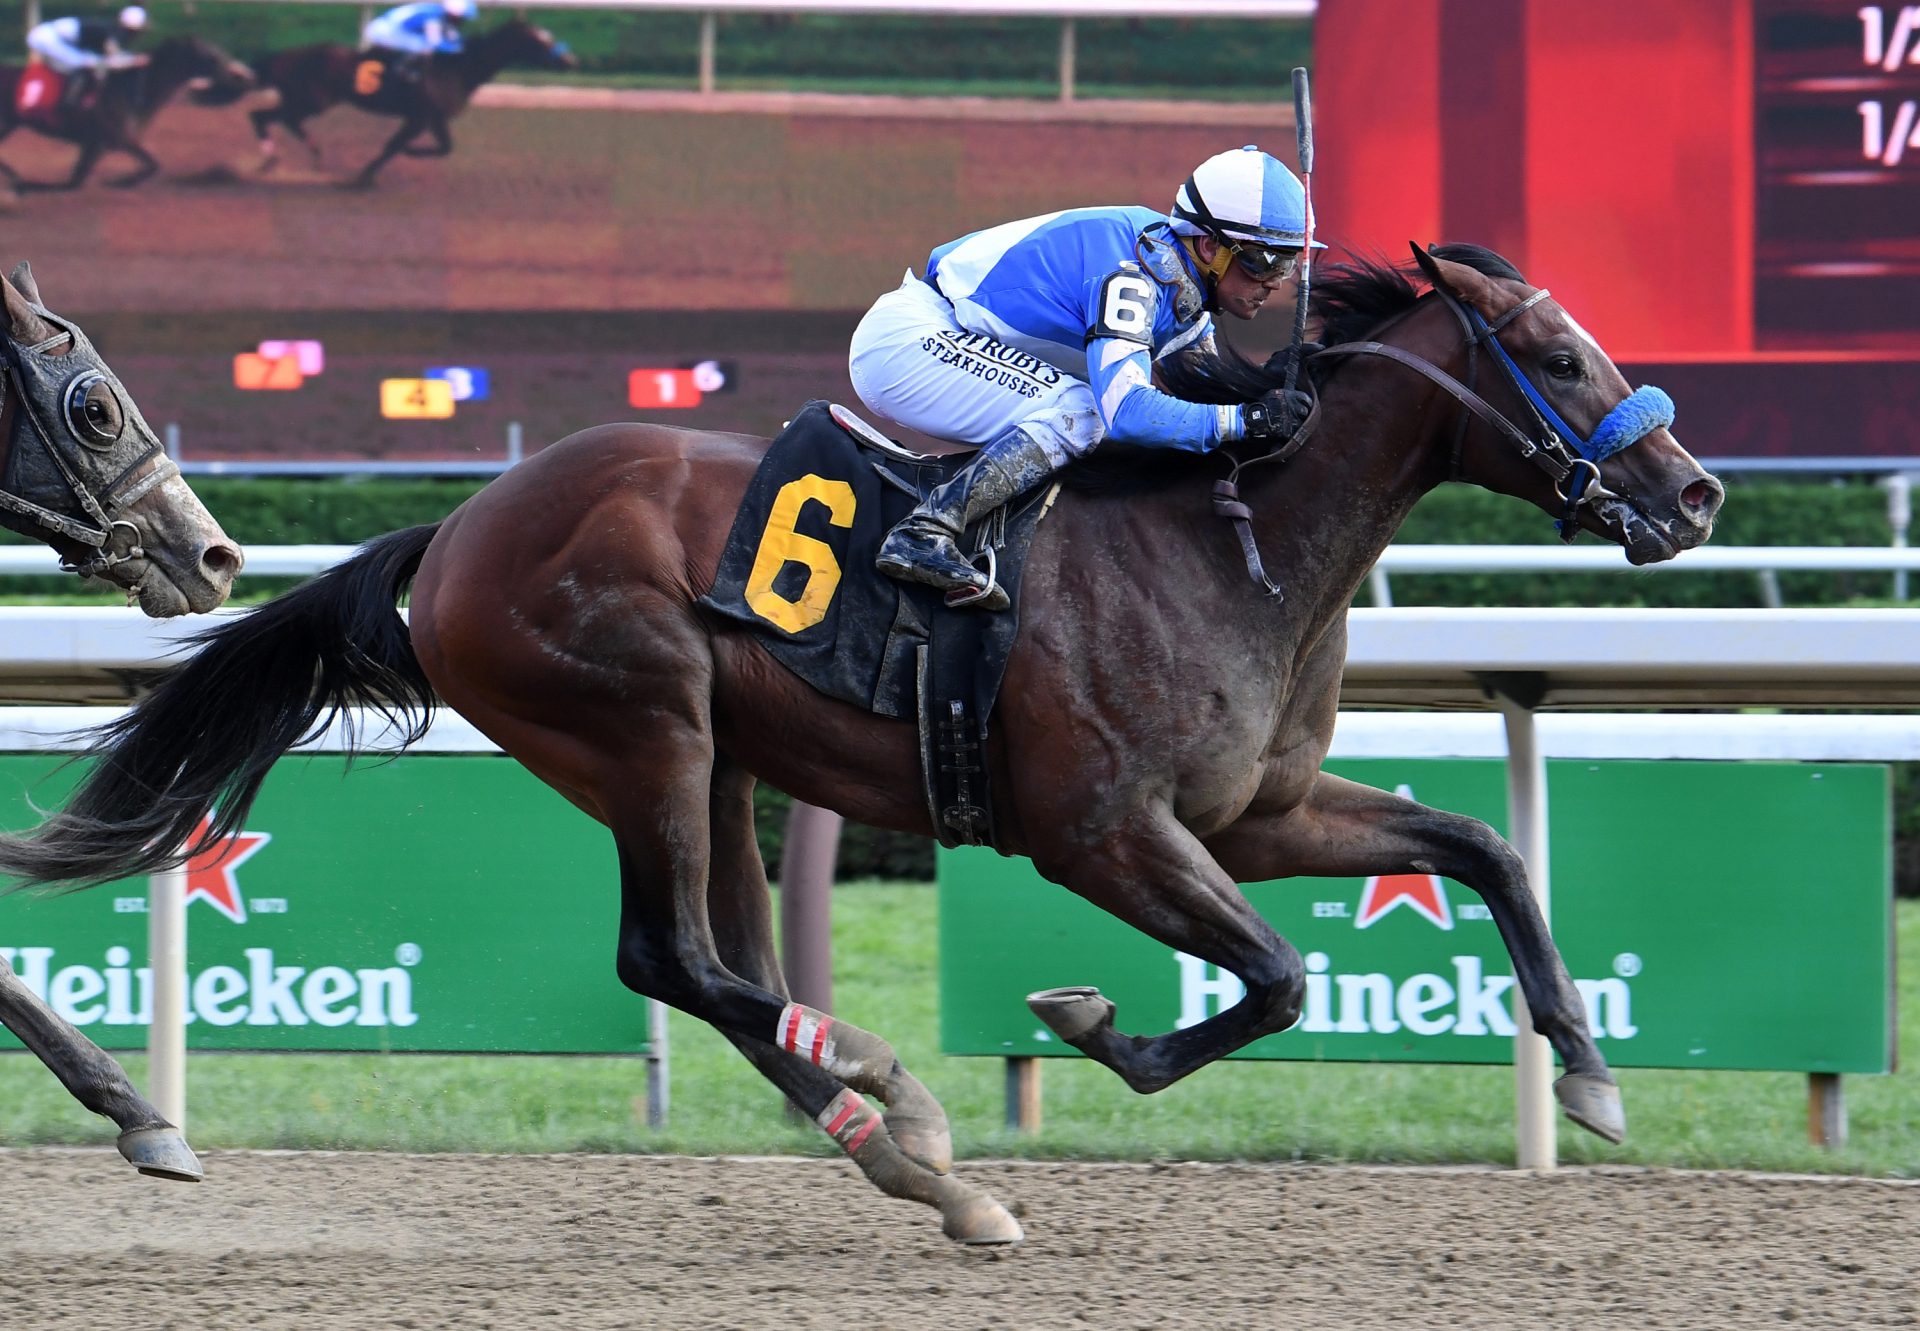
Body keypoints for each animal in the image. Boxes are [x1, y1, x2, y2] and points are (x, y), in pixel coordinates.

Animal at [243, 18, 568, 187]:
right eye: (541, 41)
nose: (568, 60)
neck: (457, 67)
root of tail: (283, 55)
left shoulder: (435, 118)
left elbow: (444, 148)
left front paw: (403, 156)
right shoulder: (419, 118)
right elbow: (393, 146)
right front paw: (365, 177)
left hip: (307, 101)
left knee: (276, 118)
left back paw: (305, 154)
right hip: (311, 100)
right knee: (264, 116)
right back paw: (278, 159)